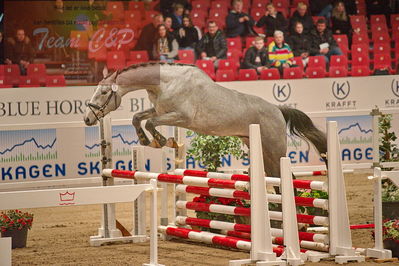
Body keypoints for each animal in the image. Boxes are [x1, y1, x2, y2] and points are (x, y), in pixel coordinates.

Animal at [84, 62, 328, 178]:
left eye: (104, 93)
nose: (87, 118)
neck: (165, 82)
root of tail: (278, 110)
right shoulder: (160, 110)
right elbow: (138, 117)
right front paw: (146, 141)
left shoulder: (181, 117)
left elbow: (152, 123)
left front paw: (162, 141)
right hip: (258, 147)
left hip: (275, 149)